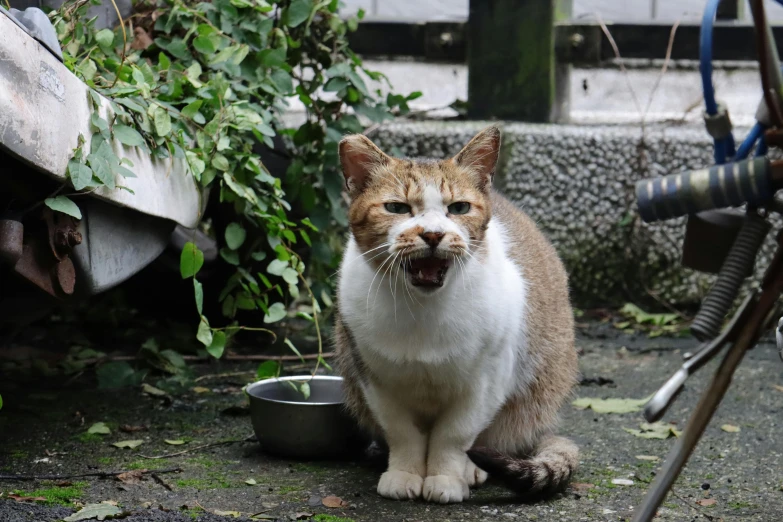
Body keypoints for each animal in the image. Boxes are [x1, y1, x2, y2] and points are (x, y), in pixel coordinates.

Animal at [334, 124, 580, 502]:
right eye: (396, 207)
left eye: (459, 207)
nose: (433, 234)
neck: (423, 311)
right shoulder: (374, 377)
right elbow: (402, 432)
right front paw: (405, 473)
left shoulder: (487, 380)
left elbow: (454, 435)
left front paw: (446, 477)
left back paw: (472, 469)